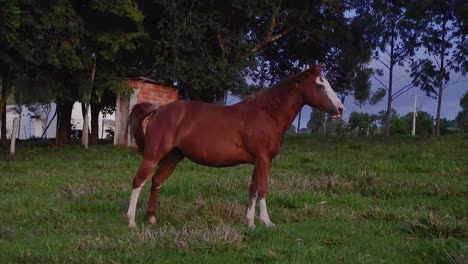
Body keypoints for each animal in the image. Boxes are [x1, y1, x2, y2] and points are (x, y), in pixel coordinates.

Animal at [125, 64, 344, 229]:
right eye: (320, 85)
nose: (340, 109)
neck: (267, 114)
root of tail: (160, 109)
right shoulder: (264, 159)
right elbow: (263, 189)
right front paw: (267, 222)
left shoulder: (259, 161)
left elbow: (253, 190)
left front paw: (250, 223)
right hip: (153, 155)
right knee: (139, 181)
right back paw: (132, 221)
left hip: (174, 157)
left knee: (157, 181)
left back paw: (152, 218)